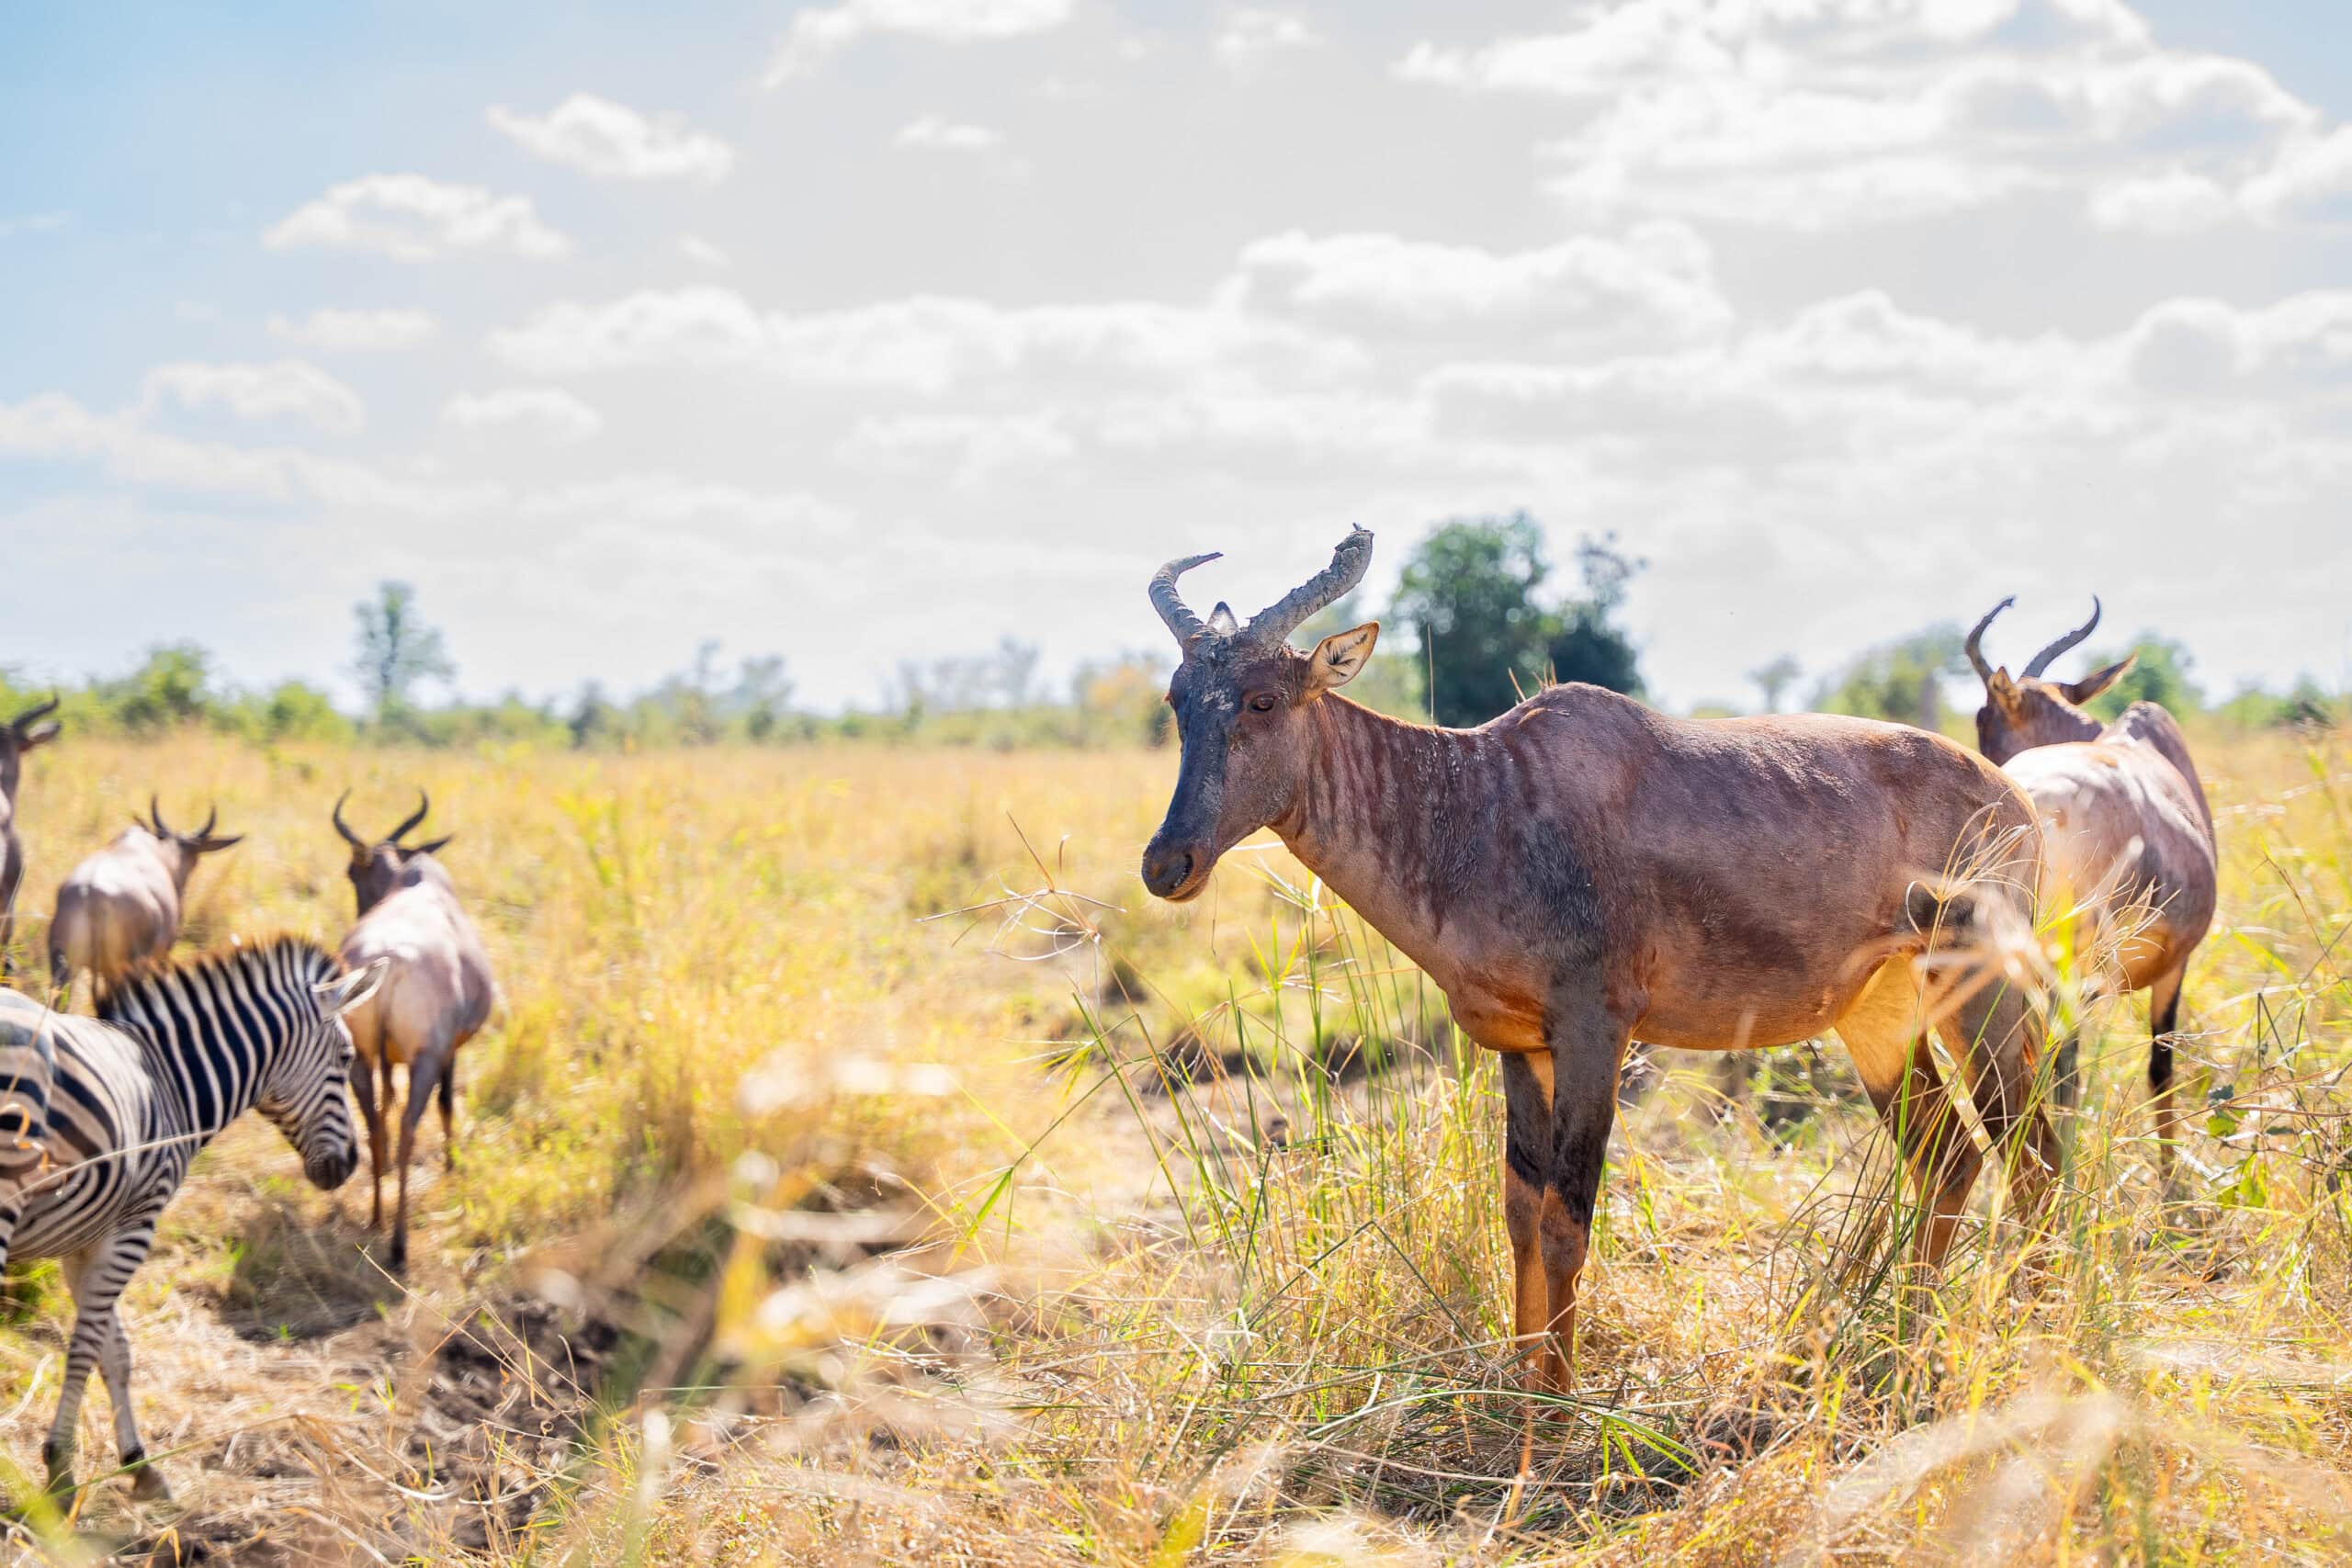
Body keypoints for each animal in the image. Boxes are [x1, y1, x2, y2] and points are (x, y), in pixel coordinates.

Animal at [0, 934, 380, 1503]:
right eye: (346, 1057)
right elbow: (87, 1347)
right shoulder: (136, 1223)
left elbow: (115, 1349)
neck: (172, 1081)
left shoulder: (83, 1237)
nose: (351, 1164)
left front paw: (139, 1465)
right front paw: (61, 1470)